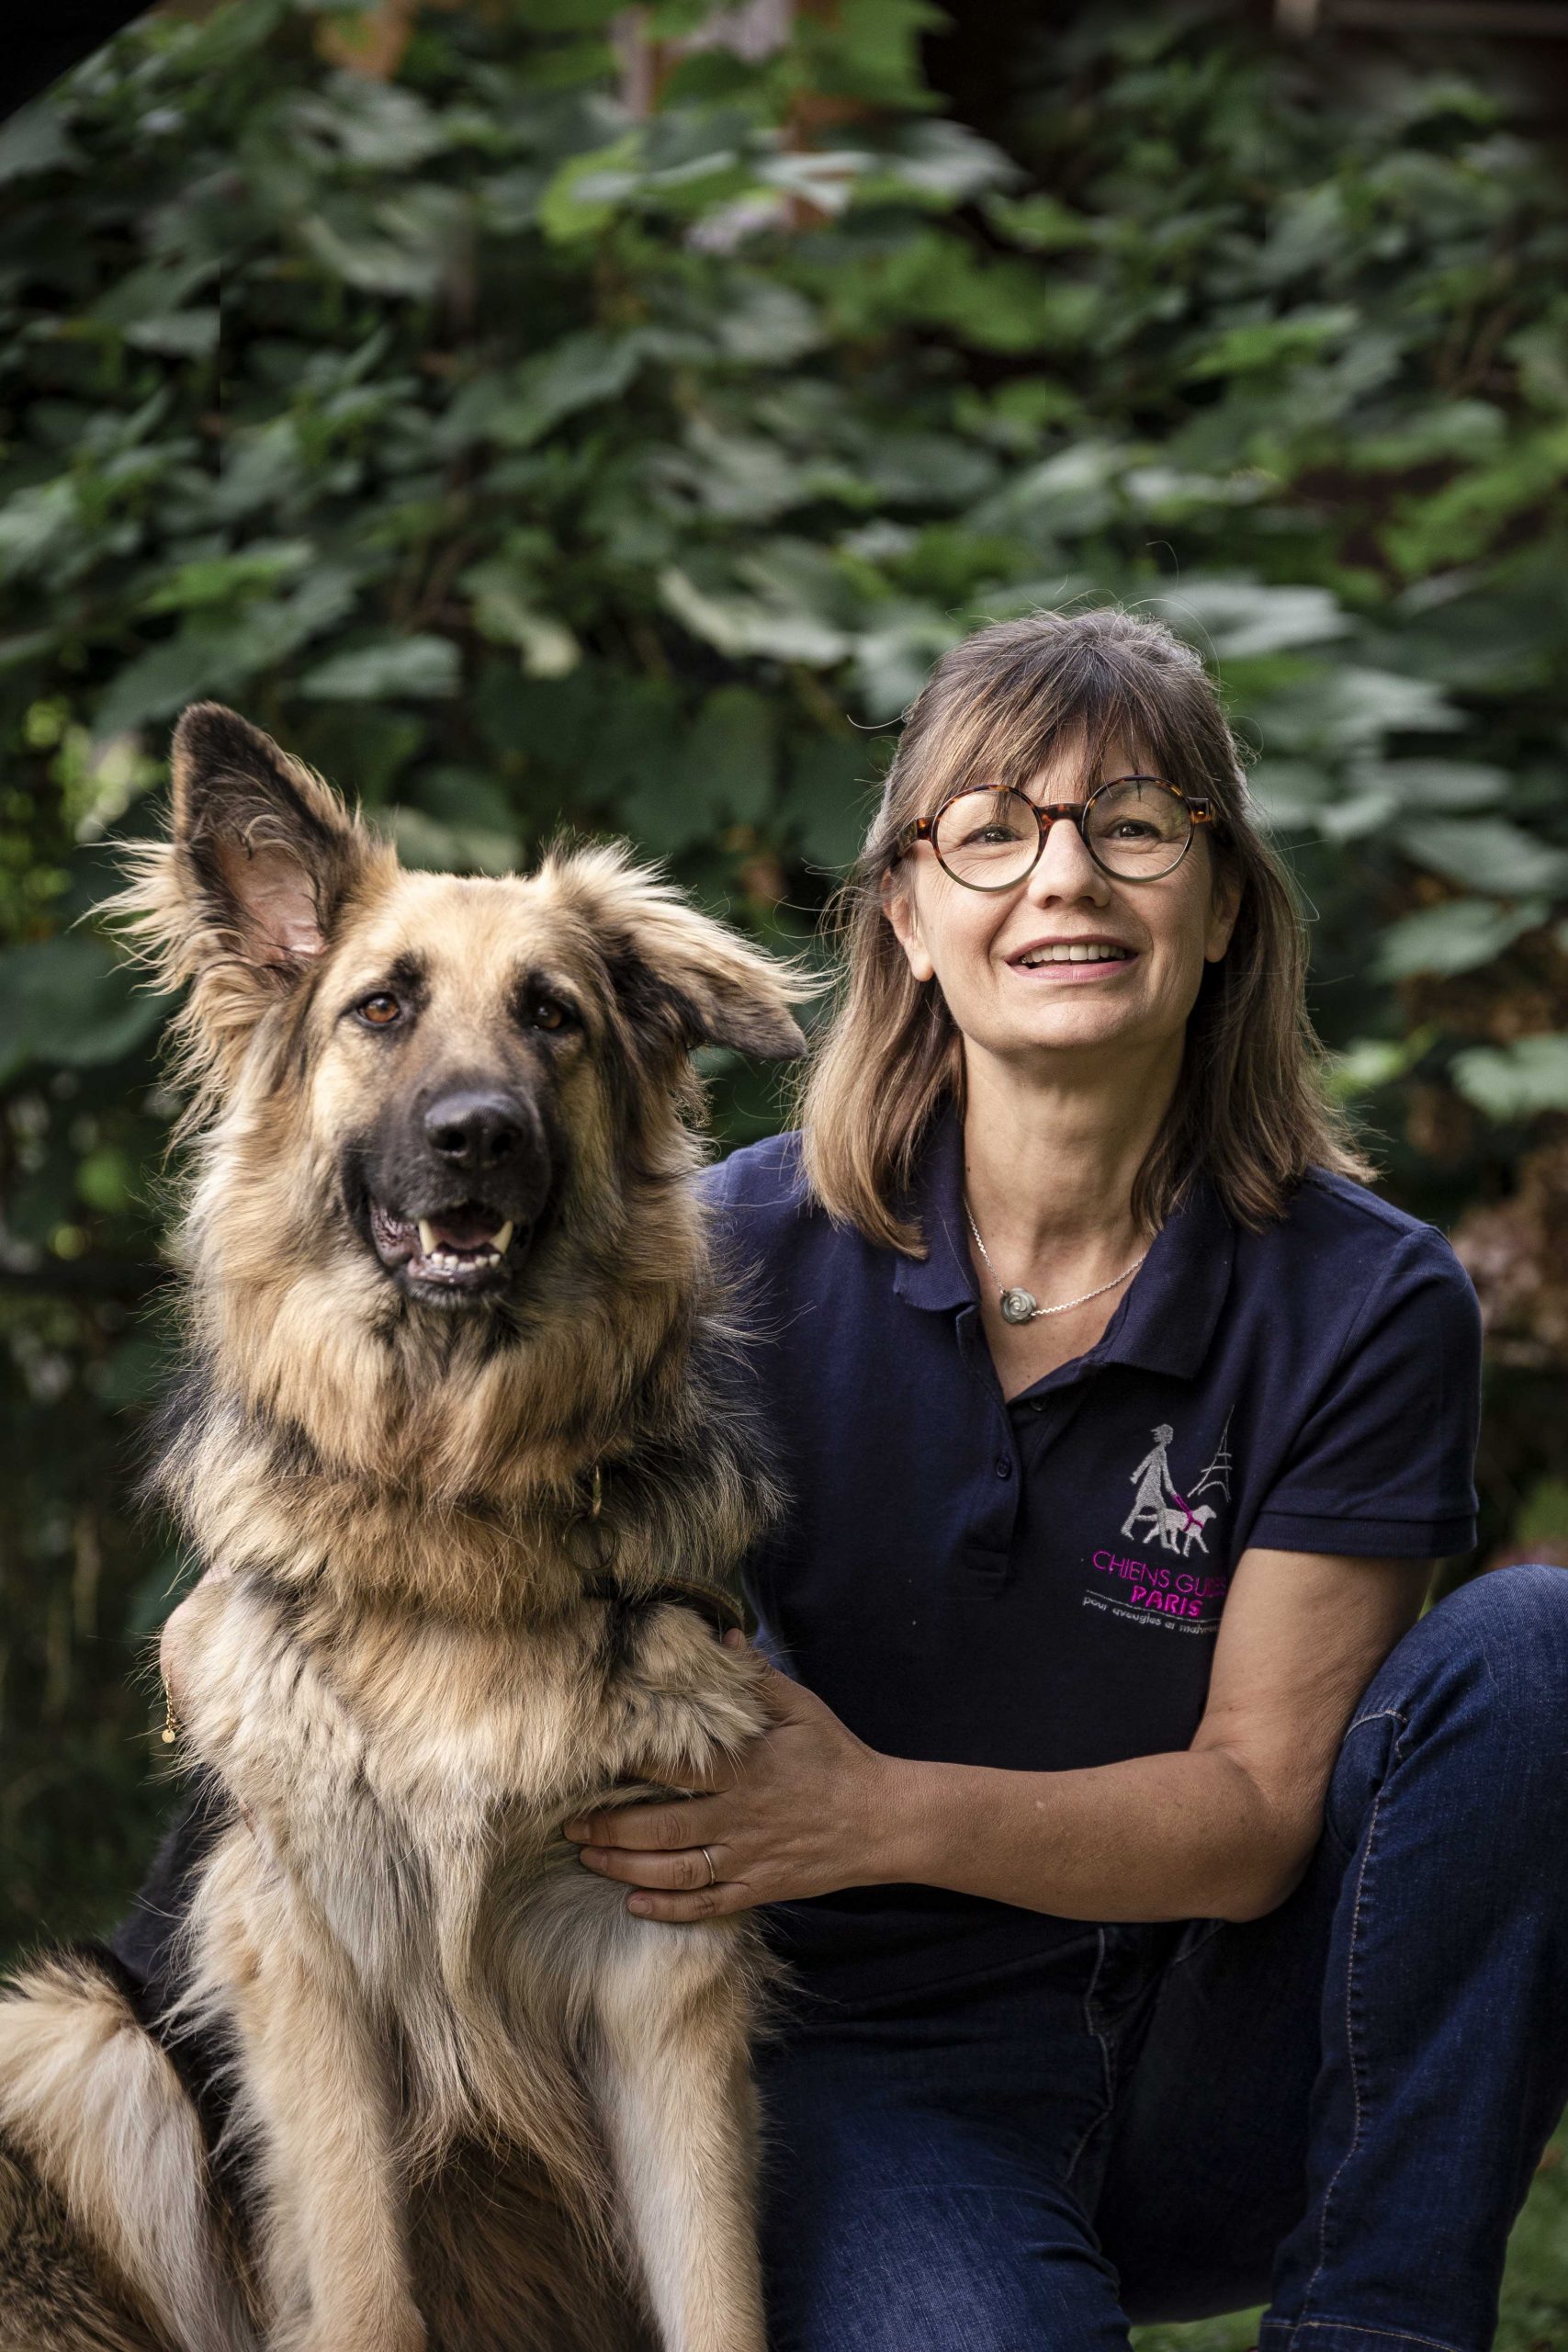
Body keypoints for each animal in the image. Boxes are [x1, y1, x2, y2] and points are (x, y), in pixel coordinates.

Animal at [0, 700, 804, 2352]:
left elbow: (717, 2295)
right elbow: (363, 2293)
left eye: (554, 1016)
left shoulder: (660, 1963)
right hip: (76, 2037)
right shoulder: (302, 1961)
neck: (455, 1497)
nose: (475, 1137)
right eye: (380, 1008)